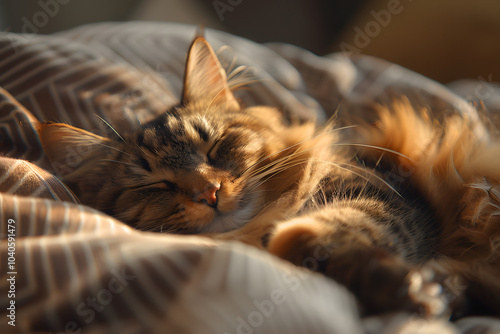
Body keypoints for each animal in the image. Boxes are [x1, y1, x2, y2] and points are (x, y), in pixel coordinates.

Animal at [38, 35, 500, 318]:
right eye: (156, 185)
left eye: (214, 147)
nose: (209, 192)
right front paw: (424, 291)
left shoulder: (389, 195)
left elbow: (334, 228)